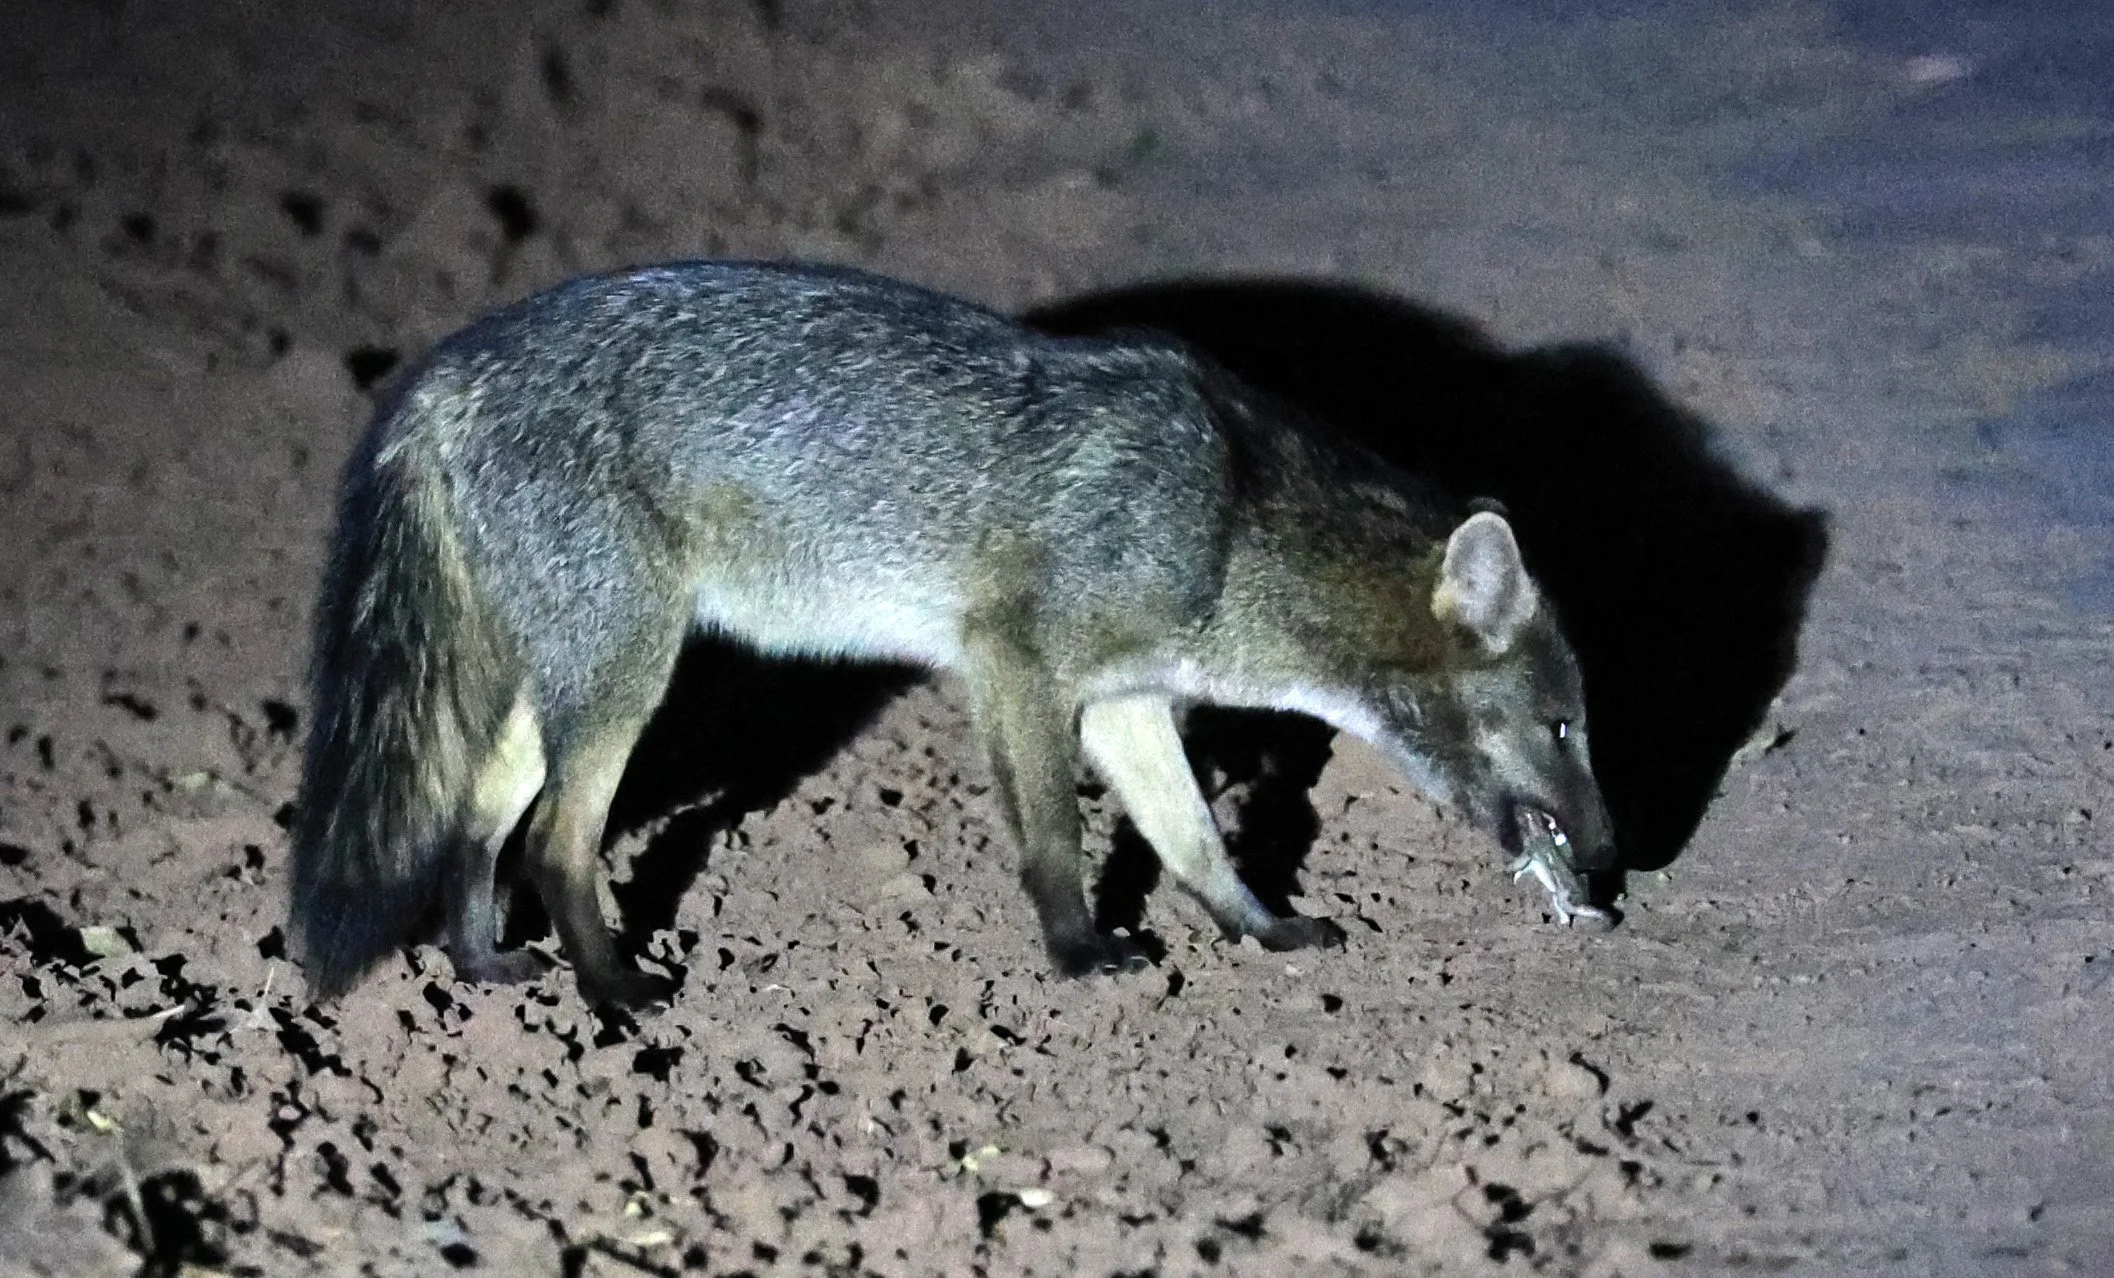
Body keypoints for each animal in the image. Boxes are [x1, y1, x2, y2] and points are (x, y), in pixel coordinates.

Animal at [289, 260, 1616, 1009]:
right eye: (1564, 726)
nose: (1612, 867)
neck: (1229, 509)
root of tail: (447, 368)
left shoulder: (1126, 702)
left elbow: (1195, 840)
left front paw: (1263, 931)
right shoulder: (1017, 665)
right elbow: (1054, 843)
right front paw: (1078, 958)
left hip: (560, 690)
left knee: (476, 825)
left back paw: (481, 965)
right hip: (625, 681)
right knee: (559, 843)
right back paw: (612, 988)